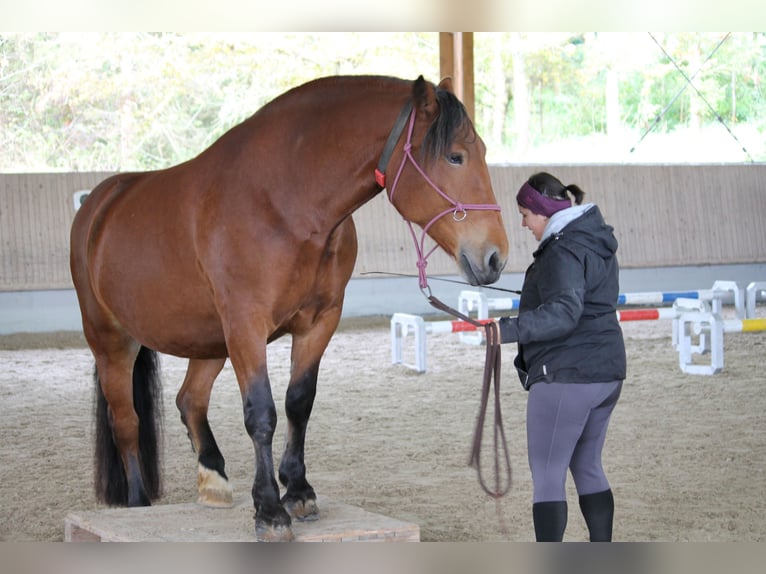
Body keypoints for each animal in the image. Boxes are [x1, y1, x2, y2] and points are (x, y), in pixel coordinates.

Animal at [70, 74, 509, 541]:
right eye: (455, 156)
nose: (495, 256)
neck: (283, 204)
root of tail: (98, 205)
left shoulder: (318, 323)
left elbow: (299, 402)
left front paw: (297, 491)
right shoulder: (246, 327)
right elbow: (261, 413)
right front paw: (269, 510)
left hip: (208, 341)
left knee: (190, 400)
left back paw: (215, 479)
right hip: (113, 342)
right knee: (126, 422)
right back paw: (138, 505)